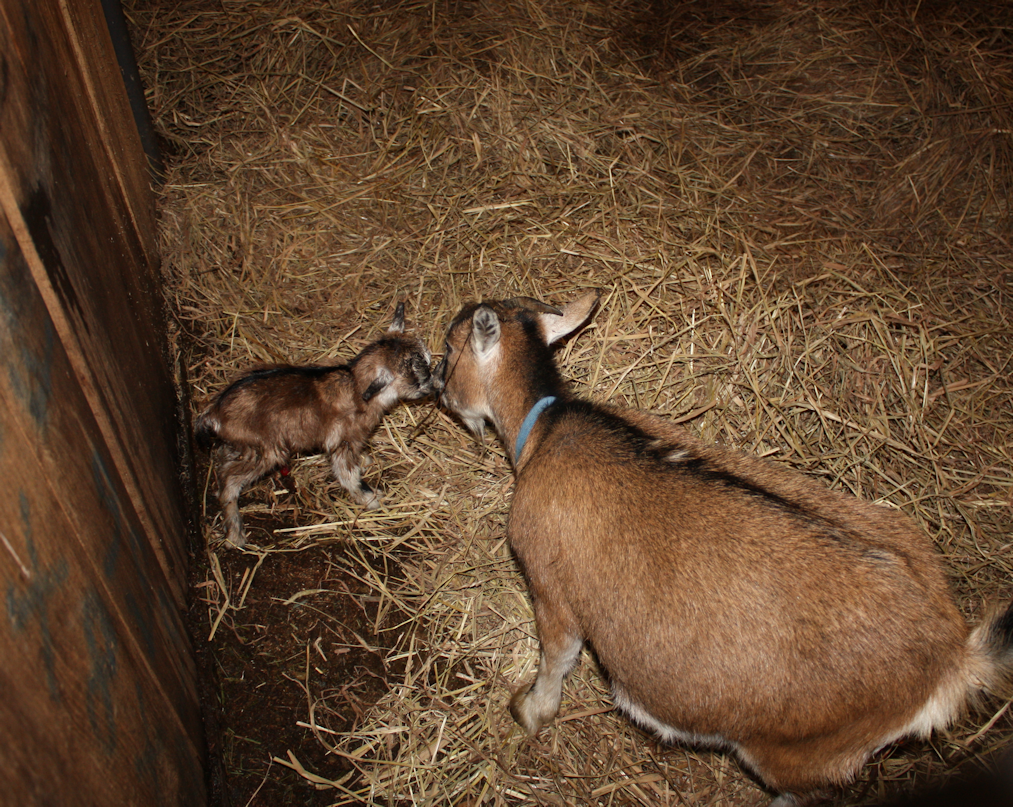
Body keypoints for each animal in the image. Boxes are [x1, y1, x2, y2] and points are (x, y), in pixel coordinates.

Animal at [196, 303, 433, 548]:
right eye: (416, 378)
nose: (433, 387)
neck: (356, 387)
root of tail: (213, 413)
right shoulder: (341, 441)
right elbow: (347, 474)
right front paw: (371, 499)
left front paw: (365, 461)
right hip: (266, 450)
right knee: (229, 480)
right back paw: (235, 535)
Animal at [433, 291, 1013, 806]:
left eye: (448, 346)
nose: (438, 389)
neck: (546, 429)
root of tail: (954, 654)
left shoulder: (552, 589)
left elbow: (557, 660)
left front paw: (529, 712)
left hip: (798, 751)